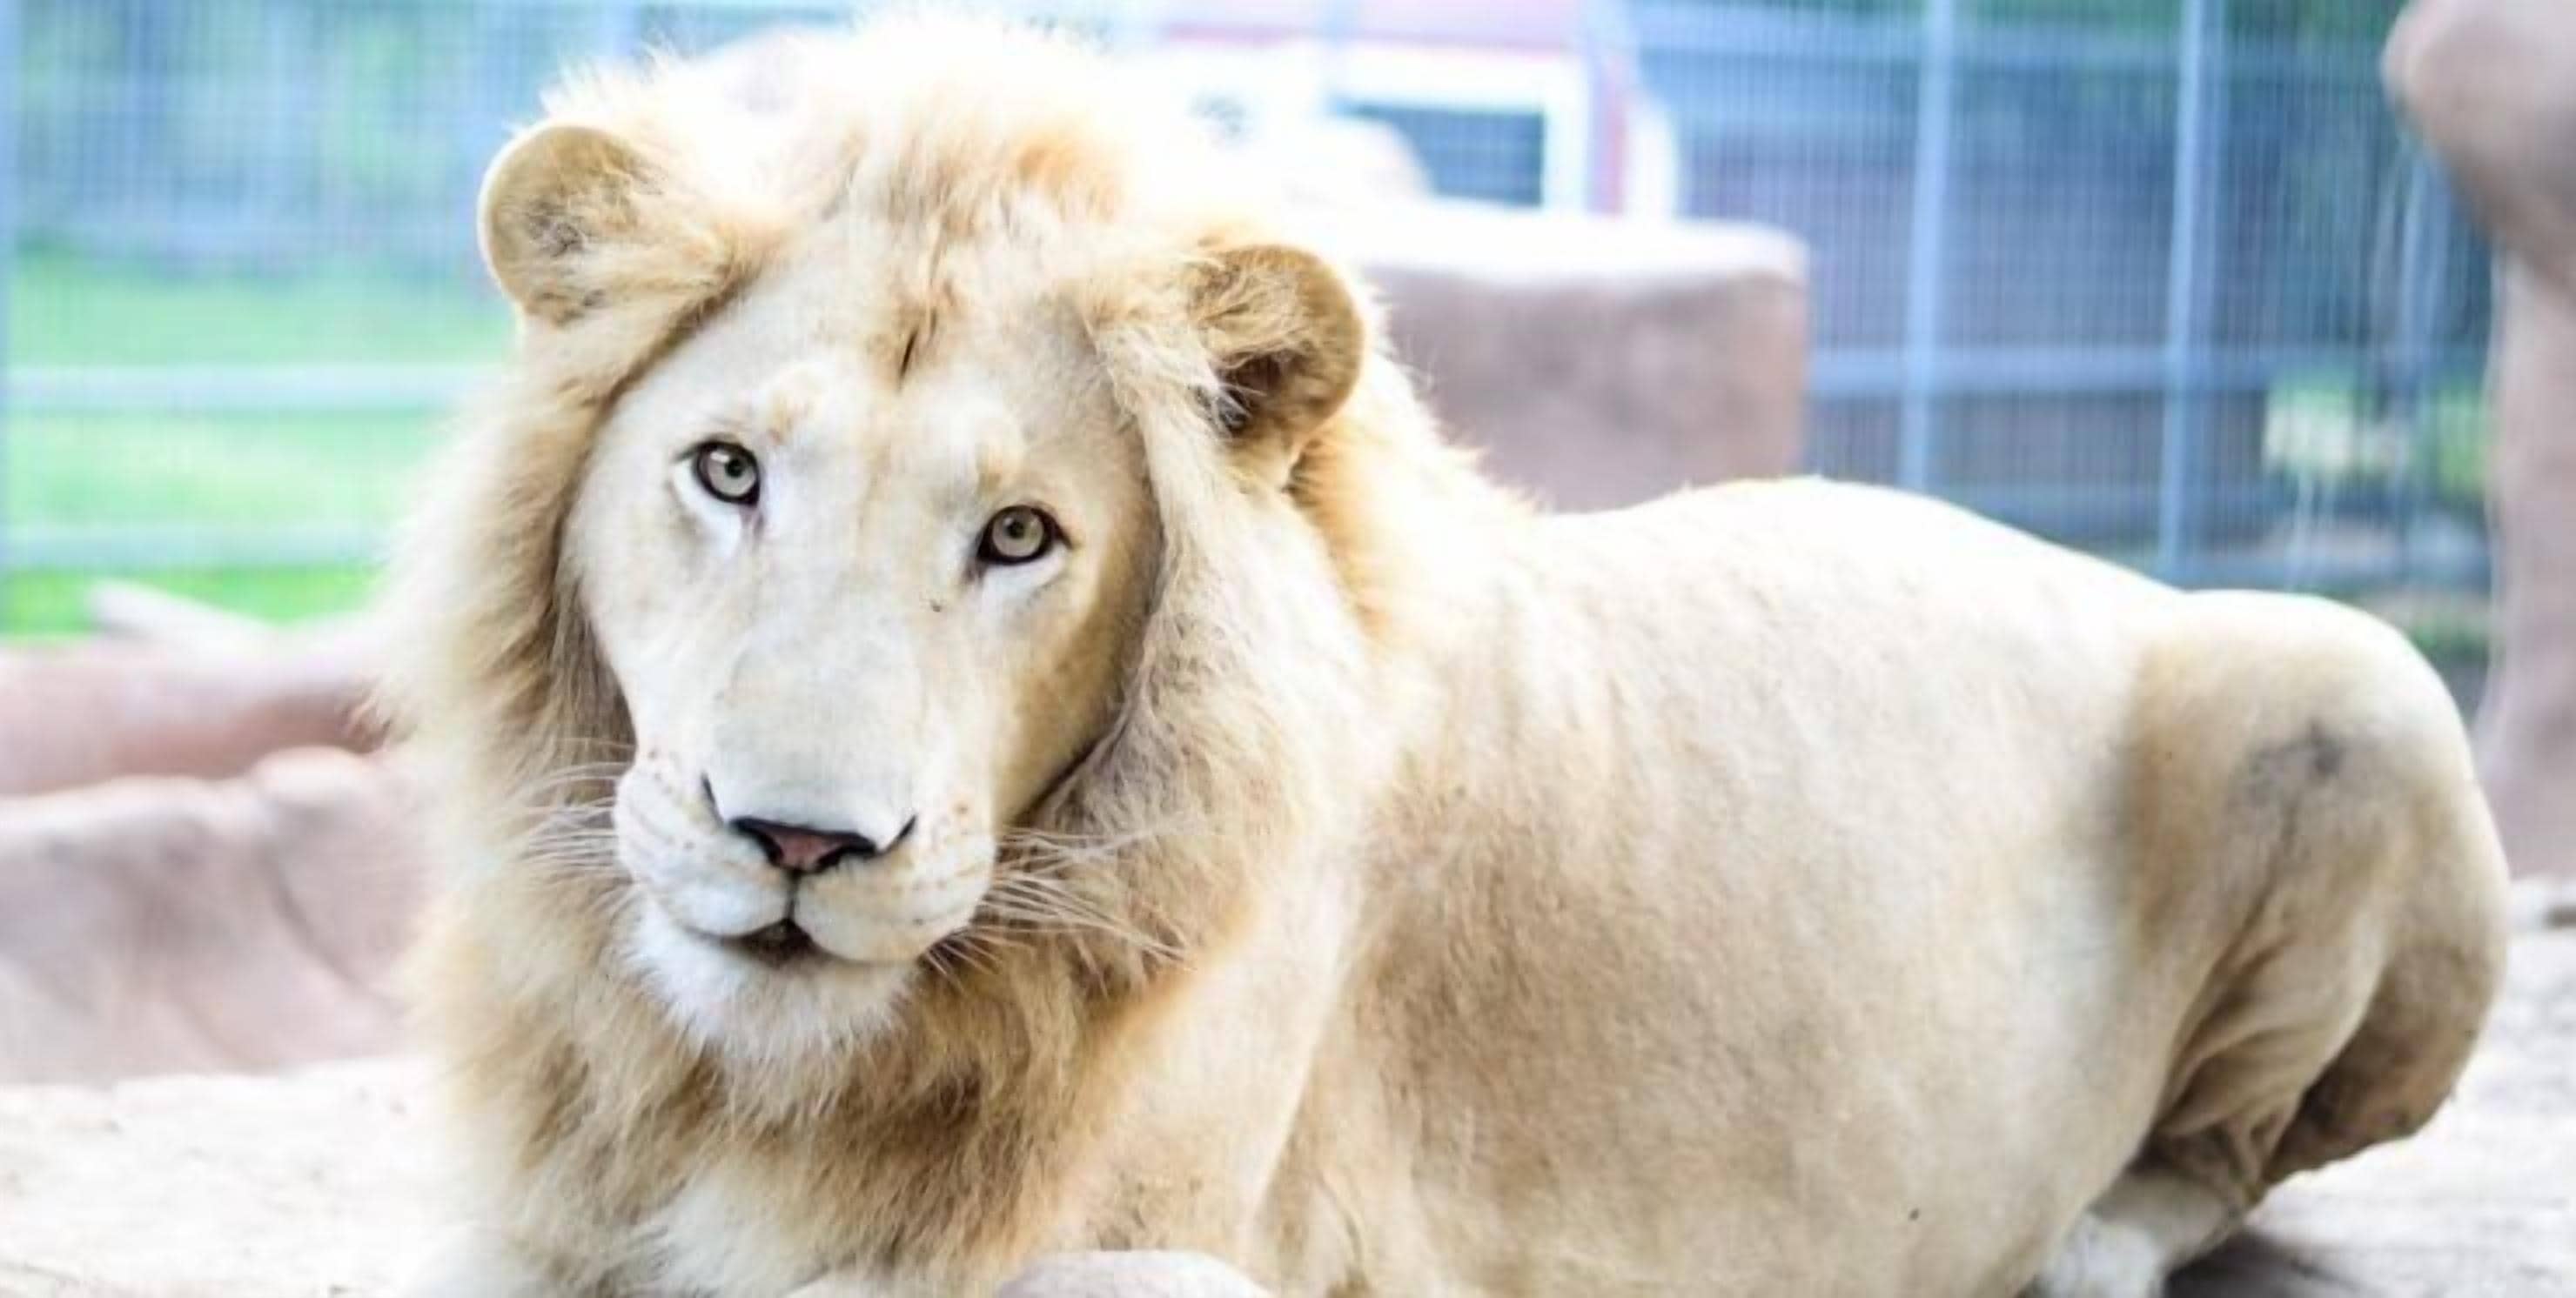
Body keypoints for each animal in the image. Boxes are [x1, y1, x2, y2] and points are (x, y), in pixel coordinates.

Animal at [382, 20, 2511, 1298]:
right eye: (727, 470)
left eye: (1019, 537)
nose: (799, 841)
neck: (740, 1077)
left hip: (2356, 681)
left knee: (2232, 1151)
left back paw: (2074, 1242)